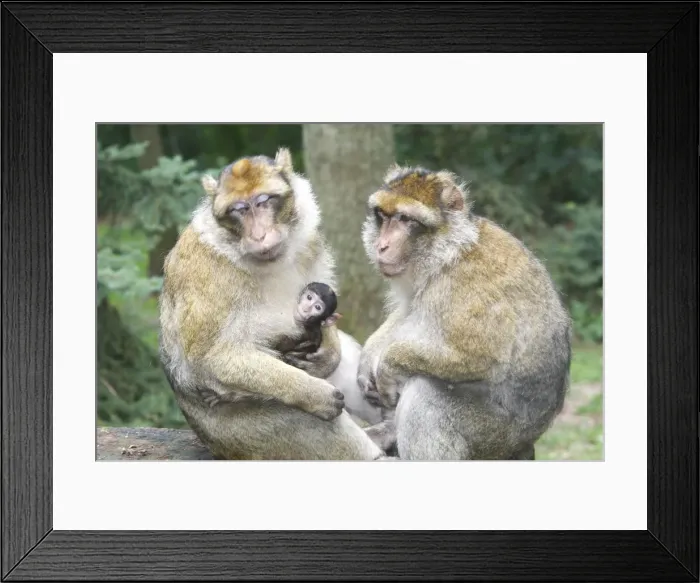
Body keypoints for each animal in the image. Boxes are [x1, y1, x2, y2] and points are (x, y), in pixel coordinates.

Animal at [158, 147, 390, 460]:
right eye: (239, 209)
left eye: (263, 201)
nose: (259, 235)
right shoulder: (205, 274)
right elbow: (209, 360)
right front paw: (312, 393)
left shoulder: (310, 243)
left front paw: (328, 353)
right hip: (240, 435)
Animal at [357, 163, 572, 460]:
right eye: (383, 216)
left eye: (405, 219)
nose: (382, 245)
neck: (450, 252)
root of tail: (527, 442)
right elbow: (408, 310)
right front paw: (369, 355)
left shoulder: (464, 285)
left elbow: (479, 357)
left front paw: (388, 364)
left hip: (493, 435)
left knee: (425, 394)